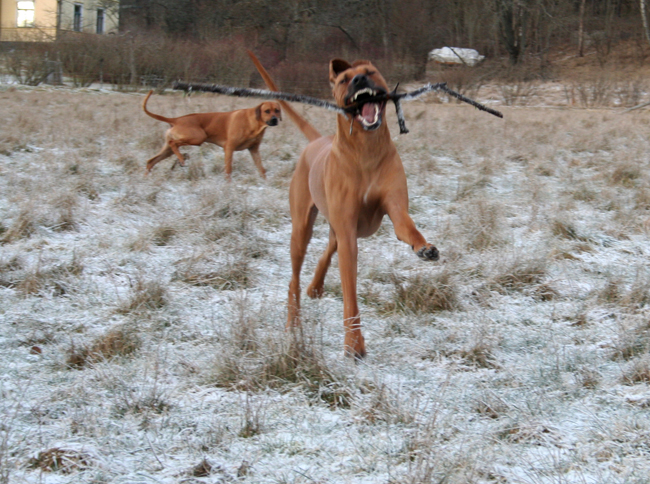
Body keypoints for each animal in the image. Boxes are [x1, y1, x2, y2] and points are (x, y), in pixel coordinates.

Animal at [143, 90, 280, 177]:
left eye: (277, 110)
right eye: (267, 111)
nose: (275, 120)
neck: (254, 123)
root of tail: (176, 119)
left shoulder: (254, 149)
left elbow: (262, 169)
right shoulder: (229, 148)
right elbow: (228, 170)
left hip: (168, 150)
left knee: (151, 161)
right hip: (198, 137)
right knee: (173, 143)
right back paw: (182, 158)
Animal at [246, 52, 438, 360]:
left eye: (370, 72)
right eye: (344, 80)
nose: (359, 79)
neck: (365, 149)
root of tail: (317, 141)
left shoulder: (394, 207)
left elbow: (406, 227)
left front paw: (424, 247)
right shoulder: (348, 234)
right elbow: (350, 294)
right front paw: (353, 343)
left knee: (327, 249)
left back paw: (315, 286)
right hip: (302, 228)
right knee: (294, 277)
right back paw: (293, 321)